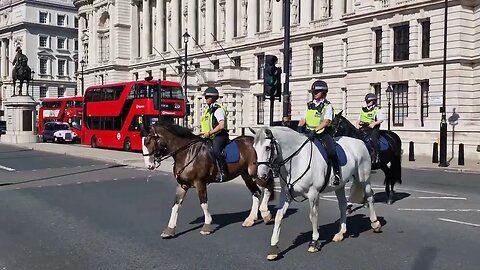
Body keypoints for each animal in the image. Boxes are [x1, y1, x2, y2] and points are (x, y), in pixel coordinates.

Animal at [142, 121, 274, 237]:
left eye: (147, 141)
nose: (149, 165)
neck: (187, 153)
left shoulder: (200, 183)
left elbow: (203, 203)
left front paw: (207, 226)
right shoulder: (182, 185)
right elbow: (175, 206)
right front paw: (169, 229)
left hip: (257, 172)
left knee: (267, 187)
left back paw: (265, 213)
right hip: (246, 175)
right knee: (256, 192)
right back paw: (250, 219)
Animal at [251, 127, 382, 260]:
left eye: (268, 147)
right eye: (254, 148)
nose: (261, 176)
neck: (297, 160)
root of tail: (360, 142)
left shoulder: (313, 194)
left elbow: (313, 216)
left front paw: (314, 242)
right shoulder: (286, 194)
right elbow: (279, 216)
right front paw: (273, 248)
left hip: (364, 180)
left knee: (370, 198)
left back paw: (375, 224)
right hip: (340, 186)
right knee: (343, 205)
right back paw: (340, 232)